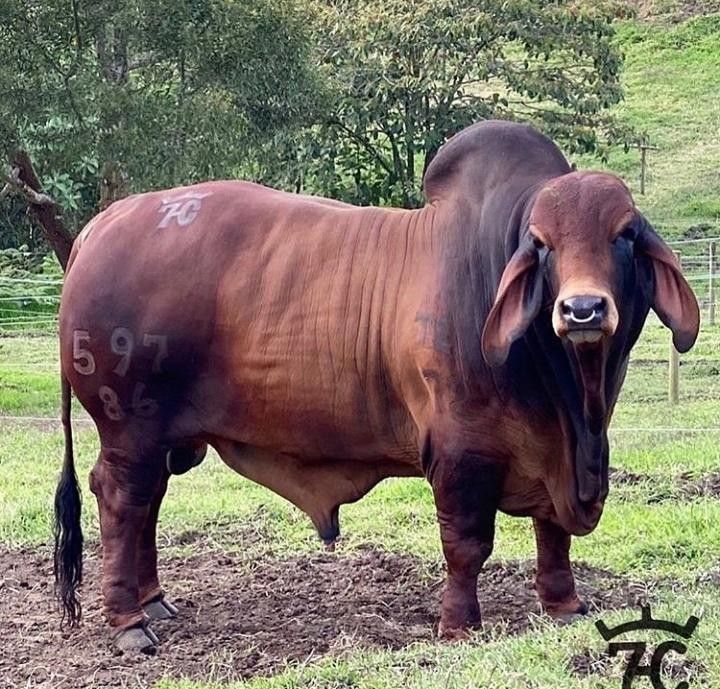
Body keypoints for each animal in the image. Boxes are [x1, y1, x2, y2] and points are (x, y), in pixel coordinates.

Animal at [54, 120, 699, 653]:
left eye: (624, 234)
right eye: (541, 243)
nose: (582, 309)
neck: (572, 399)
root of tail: (101, 225)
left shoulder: (556, 456)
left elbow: (554, 532)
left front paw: (564, 605)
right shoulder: (461, 451)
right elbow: (467, 543)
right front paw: (459, 626)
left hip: (161, 437)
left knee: (147, 504)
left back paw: (154, 601)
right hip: (130, 425)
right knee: (121, 499)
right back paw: (129, 622)